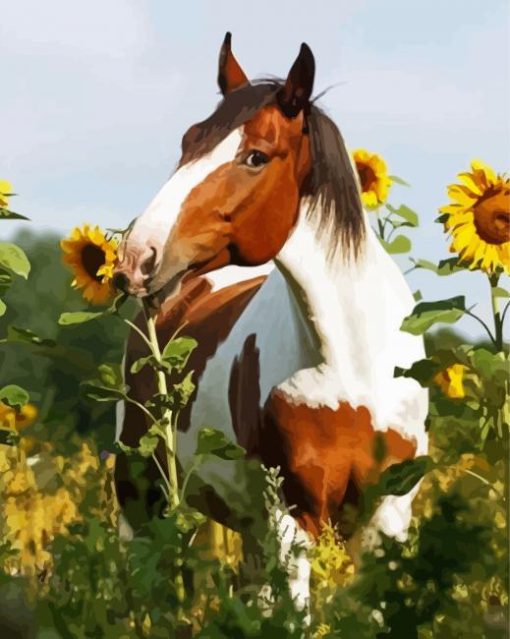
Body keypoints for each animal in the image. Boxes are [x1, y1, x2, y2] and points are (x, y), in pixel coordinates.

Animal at [111, 33, 426, 608]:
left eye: (255, 156)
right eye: (189, 140)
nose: (138, 257)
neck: (355, 364)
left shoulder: (387, 517)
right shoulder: (292, 515)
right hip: (143, 498)